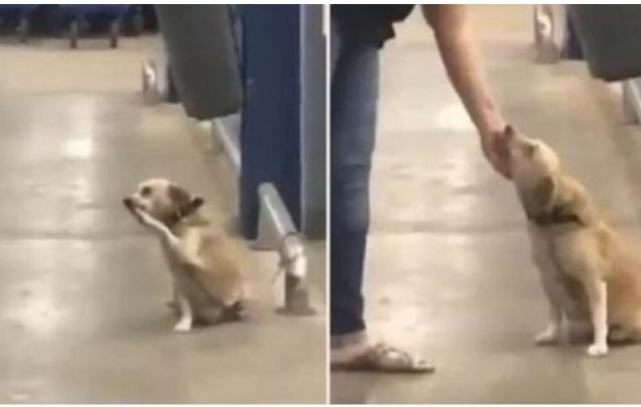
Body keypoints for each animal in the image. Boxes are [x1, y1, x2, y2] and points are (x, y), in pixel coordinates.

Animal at [123, 180, 245, 334]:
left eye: (147, 191)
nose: (126, 200)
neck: (180, 218)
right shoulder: (178, 278)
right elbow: (185, 304)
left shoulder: (187, 249)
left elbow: (162, 229)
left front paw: (147, 219)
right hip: (179, 282)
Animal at [508, 126, 641, 356]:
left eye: (531, 148)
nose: (508, 129)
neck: (552, 223)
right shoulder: (547, 278)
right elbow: (554, 312)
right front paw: (550, 333)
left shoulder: (592, 279)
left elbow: (599, 316)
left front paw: (599, 344)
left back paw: (616, 334)